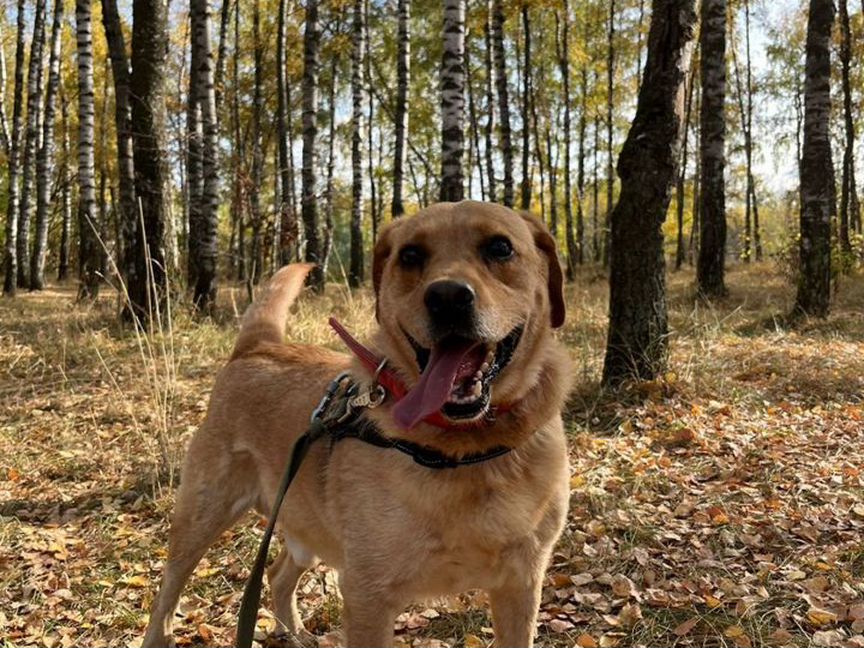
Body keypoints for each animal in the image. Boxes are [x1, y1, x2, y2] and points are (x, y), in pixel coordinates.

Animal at [142, 202, 572, 648]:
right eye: (410, 256)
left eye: (500, 247)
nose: (448, 297)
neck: (464, 452)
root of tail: (259, 347)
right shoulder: (368, 595)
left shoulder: (521, 585)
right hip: (202, 515)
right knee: (168, 590)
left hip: (307, 526)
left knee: (277, 575)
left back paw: (294, 633)